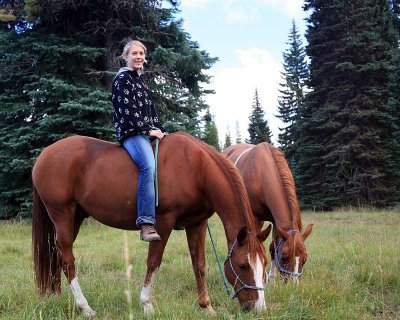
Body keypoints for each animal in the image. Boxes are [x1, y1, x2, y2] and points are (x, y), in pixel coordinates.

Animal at [32, 131, 268, 316]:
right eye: (242, 266)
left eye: (265, 265)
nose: (258, 309)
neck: (196, 168)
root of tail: (44, 155)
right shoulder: (163, 222)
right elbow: (154, 261)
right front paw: (146, 304)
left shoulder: (197, 224)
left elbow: (199, 264)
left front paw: (206, 307)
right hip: (62, 214)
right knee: (67, 259)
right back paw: (85, 307)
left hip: (76, 217)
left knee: (57, 255)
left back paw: (56, 296)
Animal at [223, 144, 314, 284]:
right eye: (284, 258)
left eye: (304, 259)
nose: (292, 285)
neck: (263, 173)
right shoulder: (255, 219)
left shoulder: (276, 222)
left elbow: (273, 247)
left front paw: (271, 278)